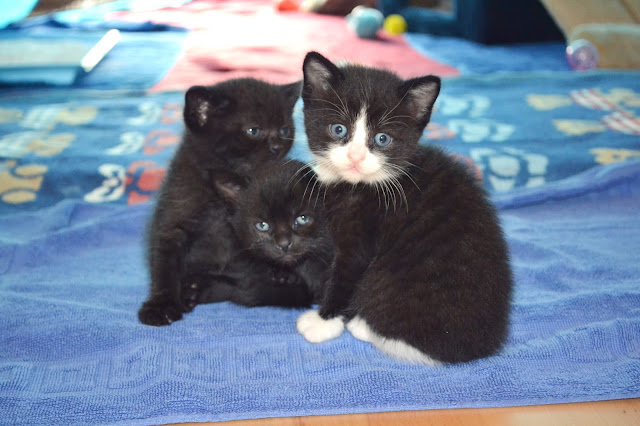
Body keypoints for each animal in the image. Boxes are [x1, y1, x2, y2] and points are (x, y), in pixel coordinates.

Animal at [138, 78, 301, 326]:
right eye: (253, 130)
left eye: (284, 129)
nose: (277, 147)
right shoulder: (173, 219)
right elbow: (164, 265)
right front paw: (160, 305)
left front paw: (281, 269)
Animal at [295, 51, 513, 364]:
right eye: (339, 130)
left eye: (382, 139)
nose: (355, 156)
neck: (361, 185)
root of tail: (481, 348)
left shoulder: (361, 237)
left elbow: (346, 275)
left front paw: (322, 323)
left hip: (389, 284)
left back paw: (363, 325)